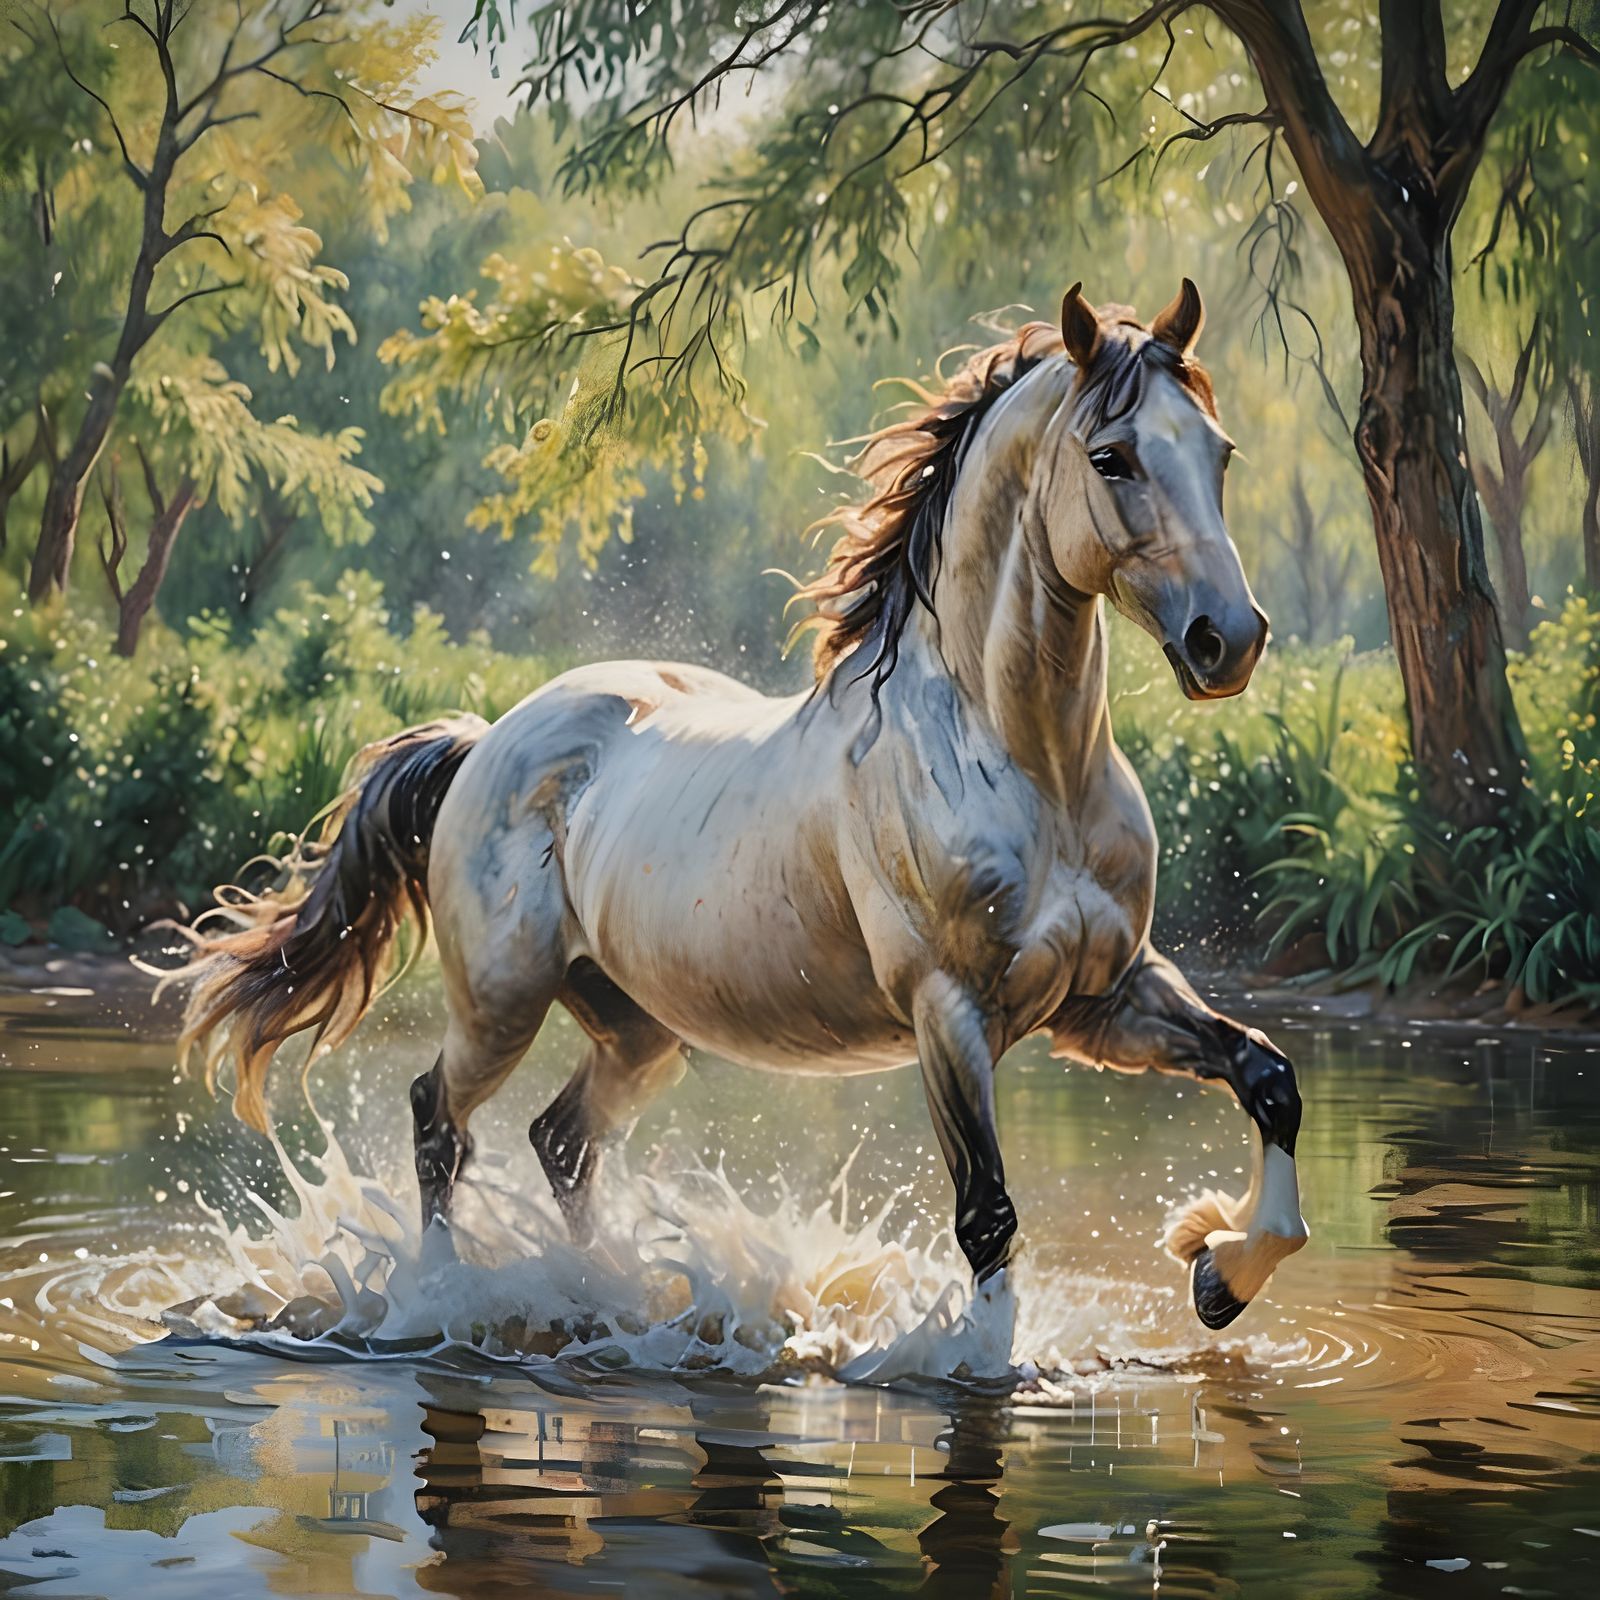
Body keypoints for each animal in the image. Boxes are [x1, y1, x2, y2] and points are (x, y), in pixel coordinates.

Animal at [174, 280, 1308, 1340]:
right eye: (1113, 457)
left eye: (1218, 451)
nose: (1230, 640)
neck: (1022, 764)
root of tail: (488, 737)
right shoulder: (950, 1011)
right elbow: (986, 1216)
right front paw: (991, 1362)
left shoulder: (1103, 996)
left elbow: (1268, 1075)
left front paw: (1219, 1273)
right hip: (501, 1004)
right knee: (437, 1119)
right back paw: (441, 1294)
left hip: (635, 1027)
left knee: (561, 1140)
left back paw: (610, 1292)